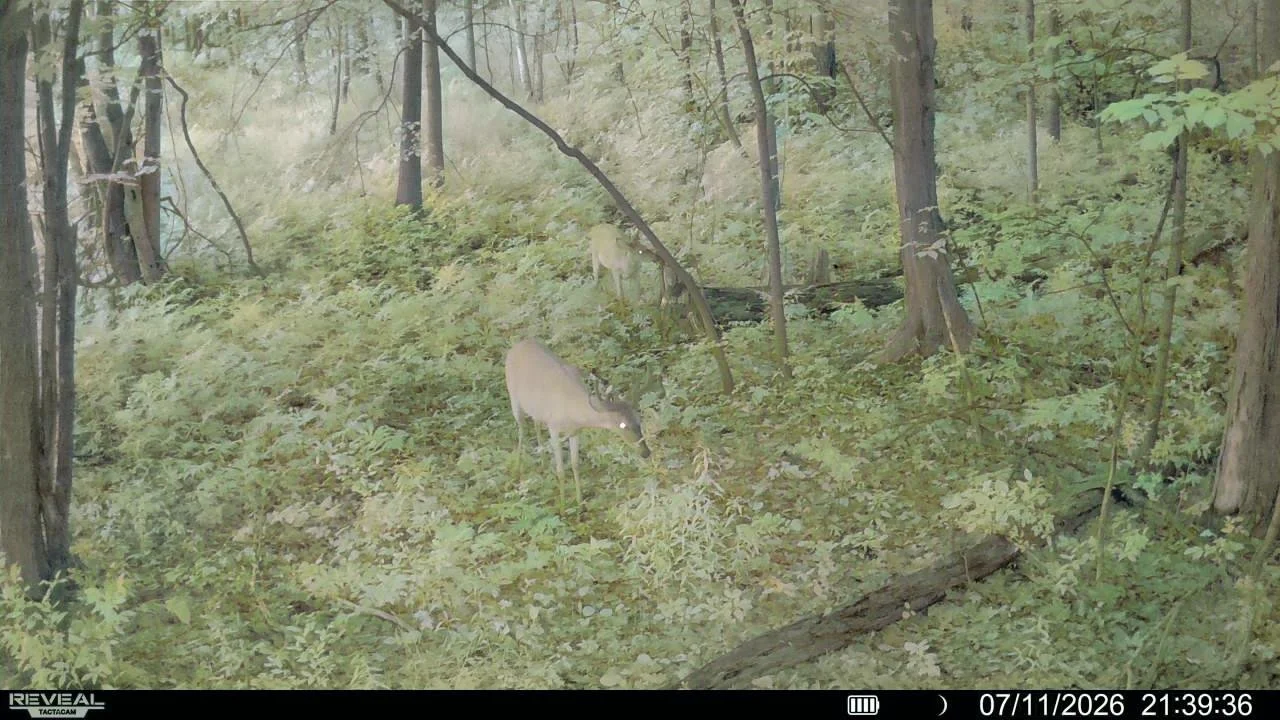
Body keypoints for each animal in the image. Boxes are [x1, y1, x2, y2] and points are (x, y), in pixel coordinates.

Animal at [504, 338, 650, 506]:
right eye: (622, 425)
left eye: (639, 419)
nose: (646, 452)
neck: (573, 412)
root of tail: (518, 344)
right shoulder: (554, 427)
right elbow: (561, 470)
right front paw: (563, 505)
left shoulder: (575, 431)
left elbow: (575, 464)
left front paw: (579, 501)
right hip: (513, 396)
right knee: (521, 427)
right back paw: (518, 465)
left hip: (535, 409)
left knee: (535, 424)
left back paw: (542, 462)